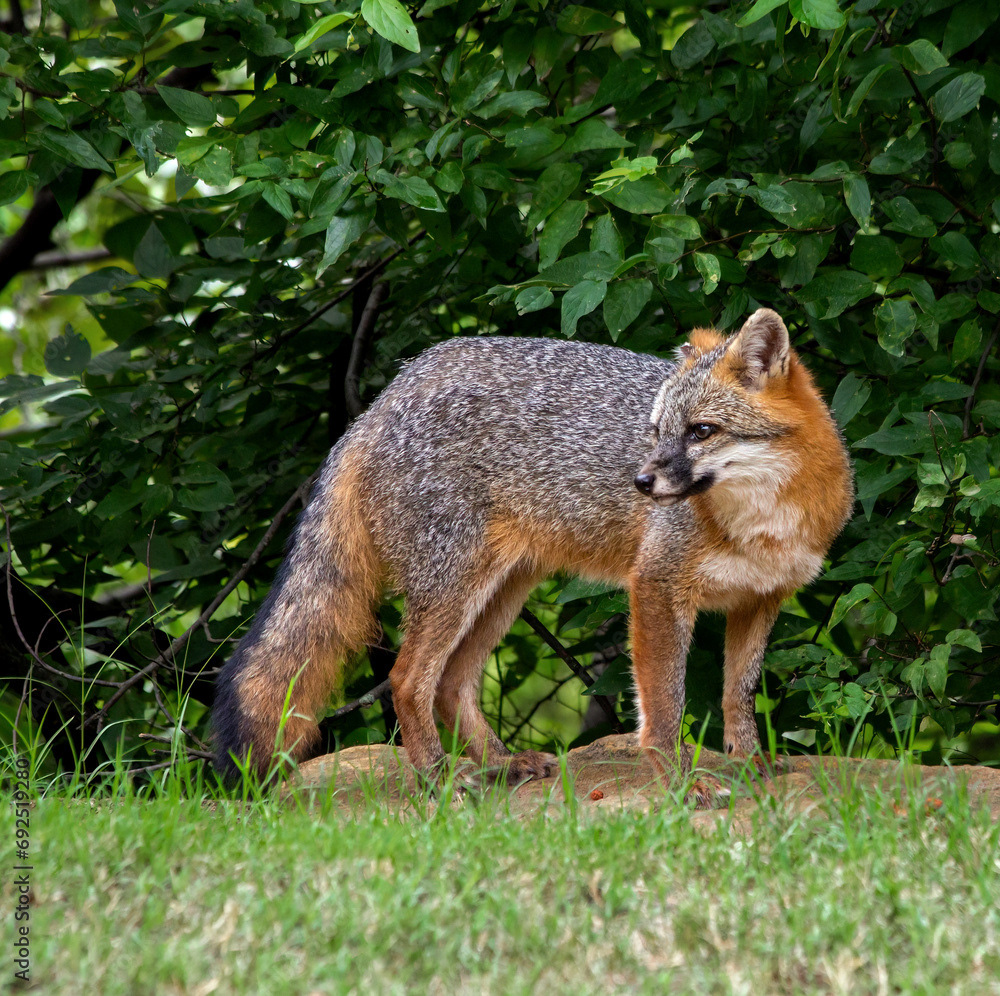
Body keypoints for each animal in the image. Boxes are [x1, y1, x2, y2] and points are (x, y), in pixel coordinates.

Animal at [213, 308, 853, 797]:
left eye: (701, 431)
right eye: (654, 431)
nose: (641, 483)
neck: (760, 523)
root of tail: (386, 396)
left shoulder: (762, 599)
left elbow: (737, 694)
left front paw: (749, 762)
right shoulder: (656, 587)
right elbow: (664, 705)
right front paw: (681, 781)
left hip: (501, 594)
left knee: (451, 683)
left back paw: (499, 763)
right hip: (455, 587)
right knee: (406, 678)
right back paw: (440, 777)